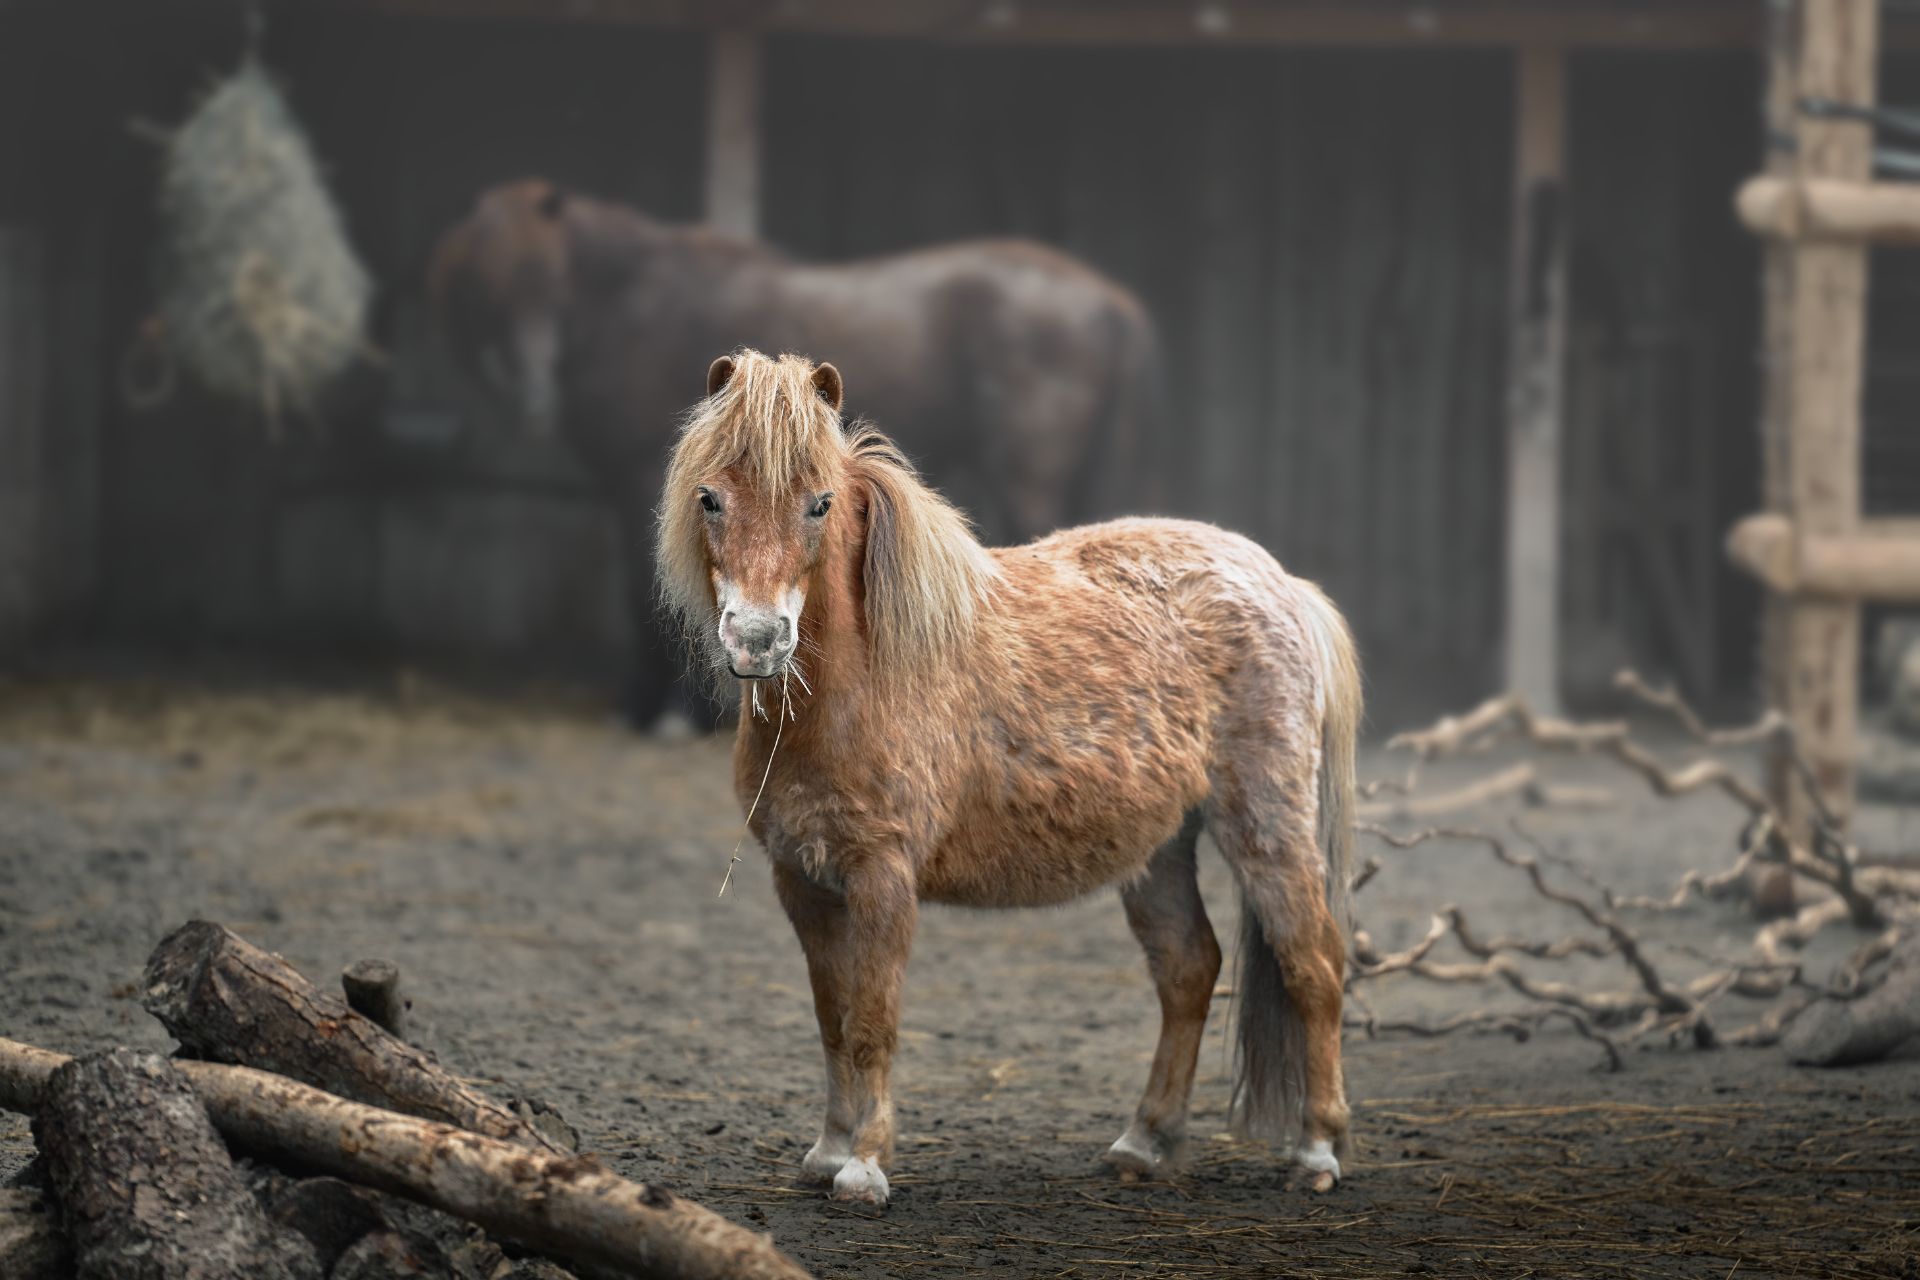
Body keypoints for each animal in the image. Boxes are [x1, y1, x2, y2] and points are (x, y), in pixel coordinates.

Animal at [428, 179, 1163, 731]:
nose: (535, 401)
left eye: (547, 276)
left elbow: (645, 593)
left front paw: (669, 713)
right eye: (484, 286)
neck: (638, 304)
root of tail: (1114, 304)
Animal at [657, 349, 1360, 1206]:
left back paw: (1317, 1150)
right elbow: (833, 1020)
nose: (758, 640)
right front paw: (827, 1151)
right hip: (1160, 849)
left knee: (1313, 963)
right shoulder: (804, 883)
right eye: (710, 498)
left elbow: (873, 1022)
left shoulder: (883, 878)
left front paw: (865, 1166)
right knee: (1189, 970)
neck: (865, 681)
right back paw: (1144, 1142)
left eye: (818, 503)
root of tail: (1280, 583)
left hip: (1266, 826)